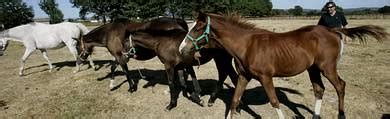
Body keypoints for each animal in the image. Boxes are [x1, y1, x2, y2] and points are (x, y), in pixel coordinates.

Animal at [179, 12, 386, 118]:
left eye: (197, 29)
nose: (182, 48)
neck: (247, 45)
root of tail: (334, 31)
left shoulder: (265, 77)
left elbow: (274, 101)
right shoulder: (244, 77)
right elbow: (235, 101)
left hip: (327, 68)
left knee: (340, 86)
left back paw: (341, 115)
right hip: (313, 69)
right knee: (319, 90)